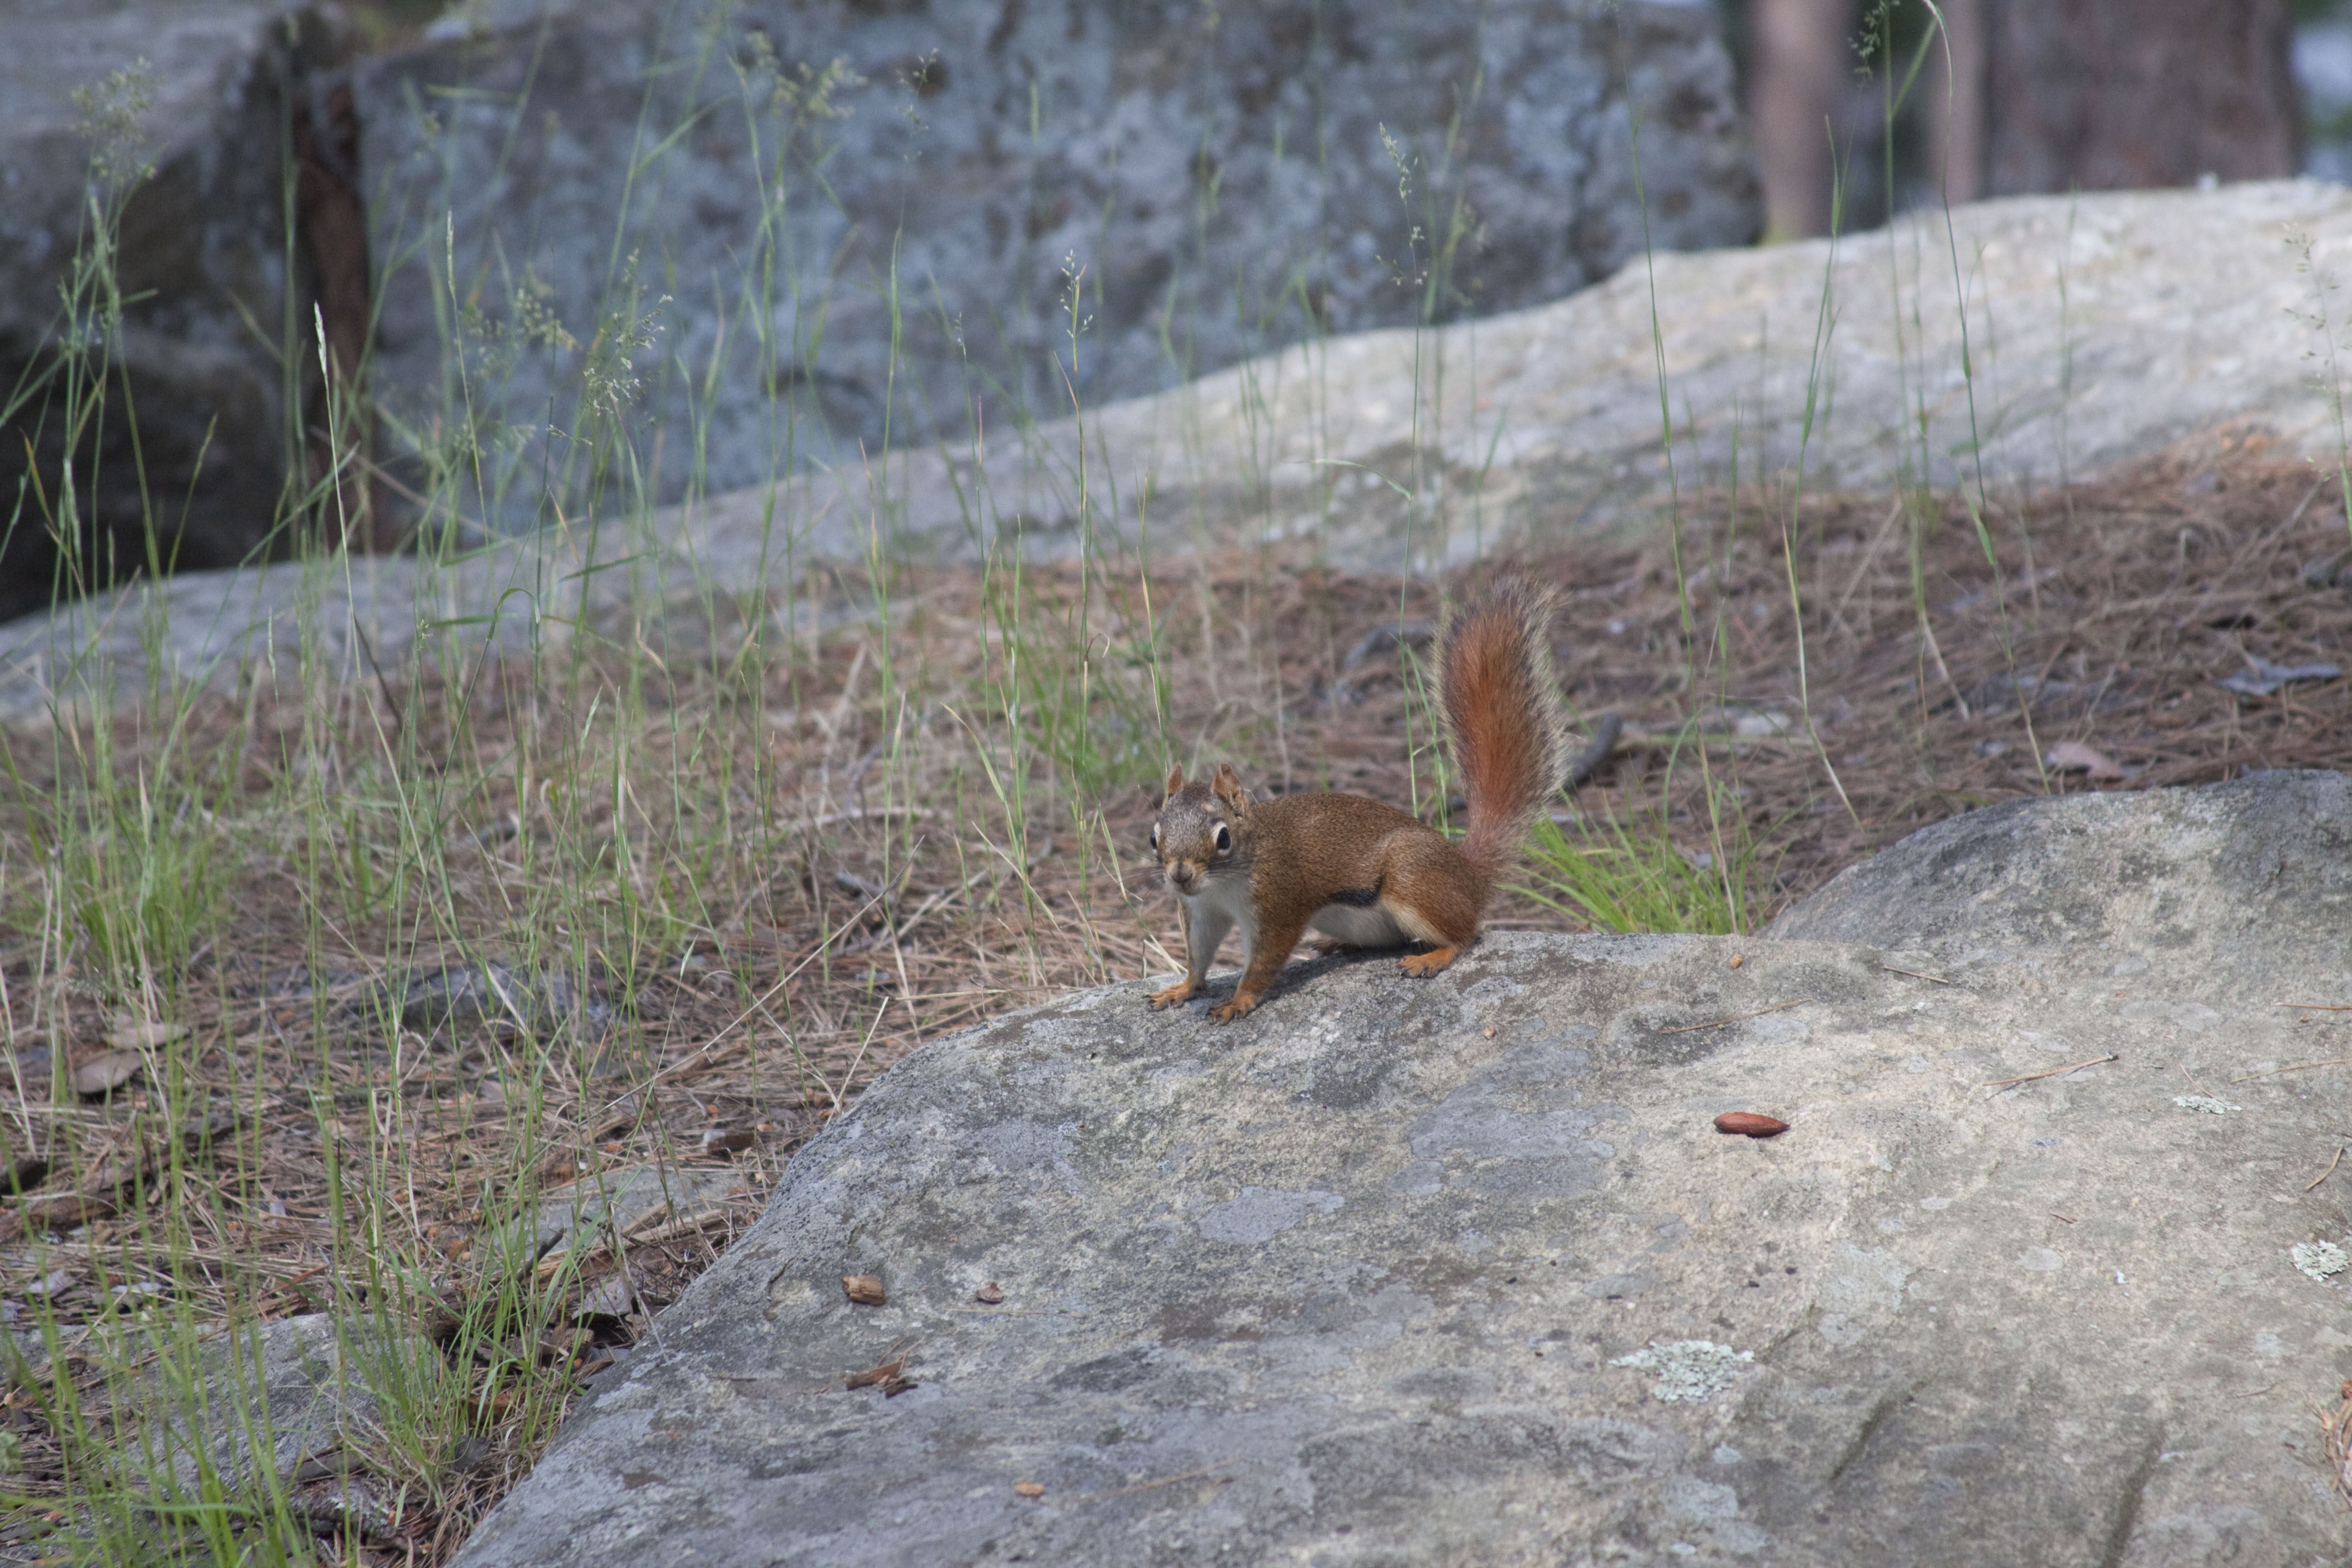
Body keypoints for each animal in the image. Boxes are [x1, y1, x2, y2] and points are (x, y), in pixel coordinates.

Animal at [1148, 579, 1575, 1023]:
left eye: (1224, 838)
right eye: (1154, 837)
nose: (1180, 875)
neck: (1223, 884)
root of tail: (1468, 874)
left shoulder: (1278, 903)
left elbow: (1264, 962)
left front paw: (1238, 1000)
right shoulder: (1201, 912)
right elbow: (1198, 956)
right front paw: (1183, 989)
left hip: (1412, 875)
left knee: (1466, 933)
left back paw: (1434, 957)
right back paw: (1340, 946)